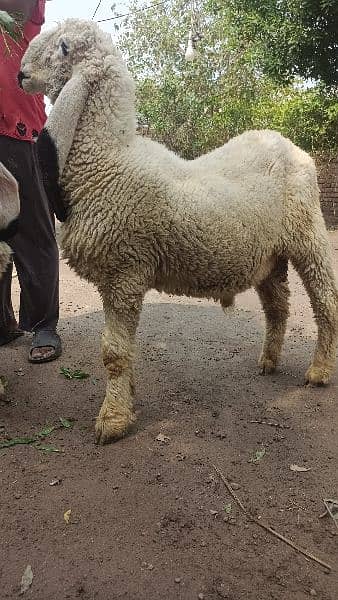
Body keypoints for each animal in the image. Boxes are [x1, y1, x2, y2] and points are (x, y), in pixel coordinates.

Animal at [21, 18, 338, 442]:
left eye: (64, 47)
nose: (21, 75)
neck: (107, 161)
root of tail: (286, 143)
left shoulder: (125, 272)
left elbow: (114, 353)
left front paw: (113, 419)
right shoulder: (113, 279)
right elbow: (122, 351)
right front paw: (128, 397)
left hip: (308, 234)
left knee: (326, 301)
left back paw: (319, 370)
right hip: (269, 254)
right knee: (278, 306)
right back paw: (269, 360)